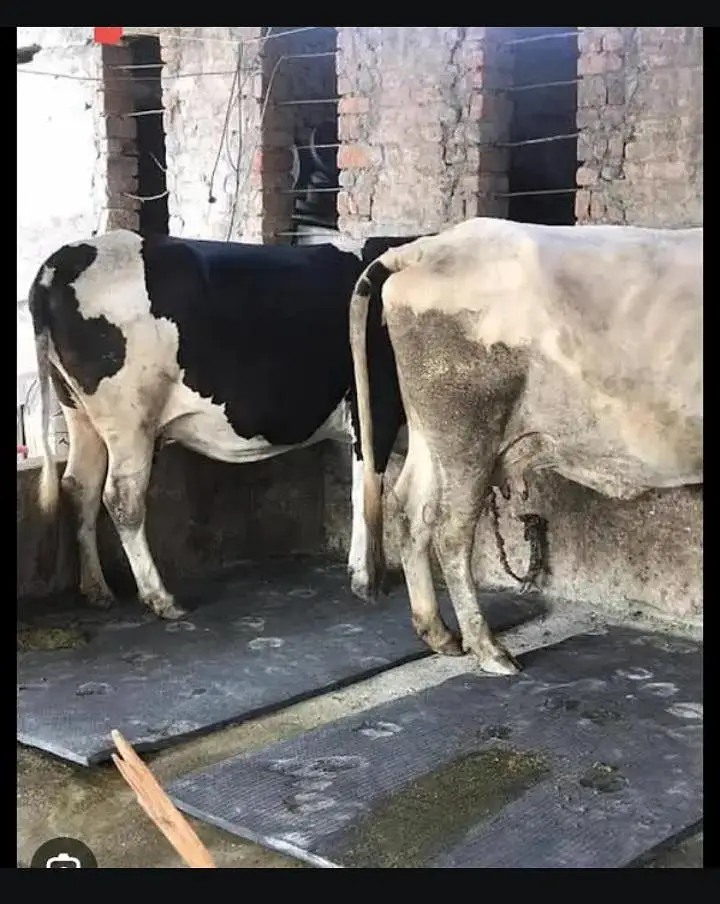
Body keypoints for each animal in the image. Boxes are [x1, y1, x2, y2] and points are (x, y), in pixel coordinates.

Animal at [29, 229, 420, 619]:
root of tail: (60, 261)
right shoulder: (375, 409)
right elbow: (367, 491)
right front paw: (367, 581)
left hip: (79, 412)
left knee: (80, 486)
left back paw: (97, 589)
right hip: (130, 418)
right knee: (122, 497)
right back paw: (161, 598)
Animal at [350, 217, 703, 676]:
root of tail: (426, 247)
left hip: (431, 430)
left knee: (412, 511)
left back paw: (441, 635)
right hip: (467, 427)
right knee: (450, 532)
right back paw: (489, 650)